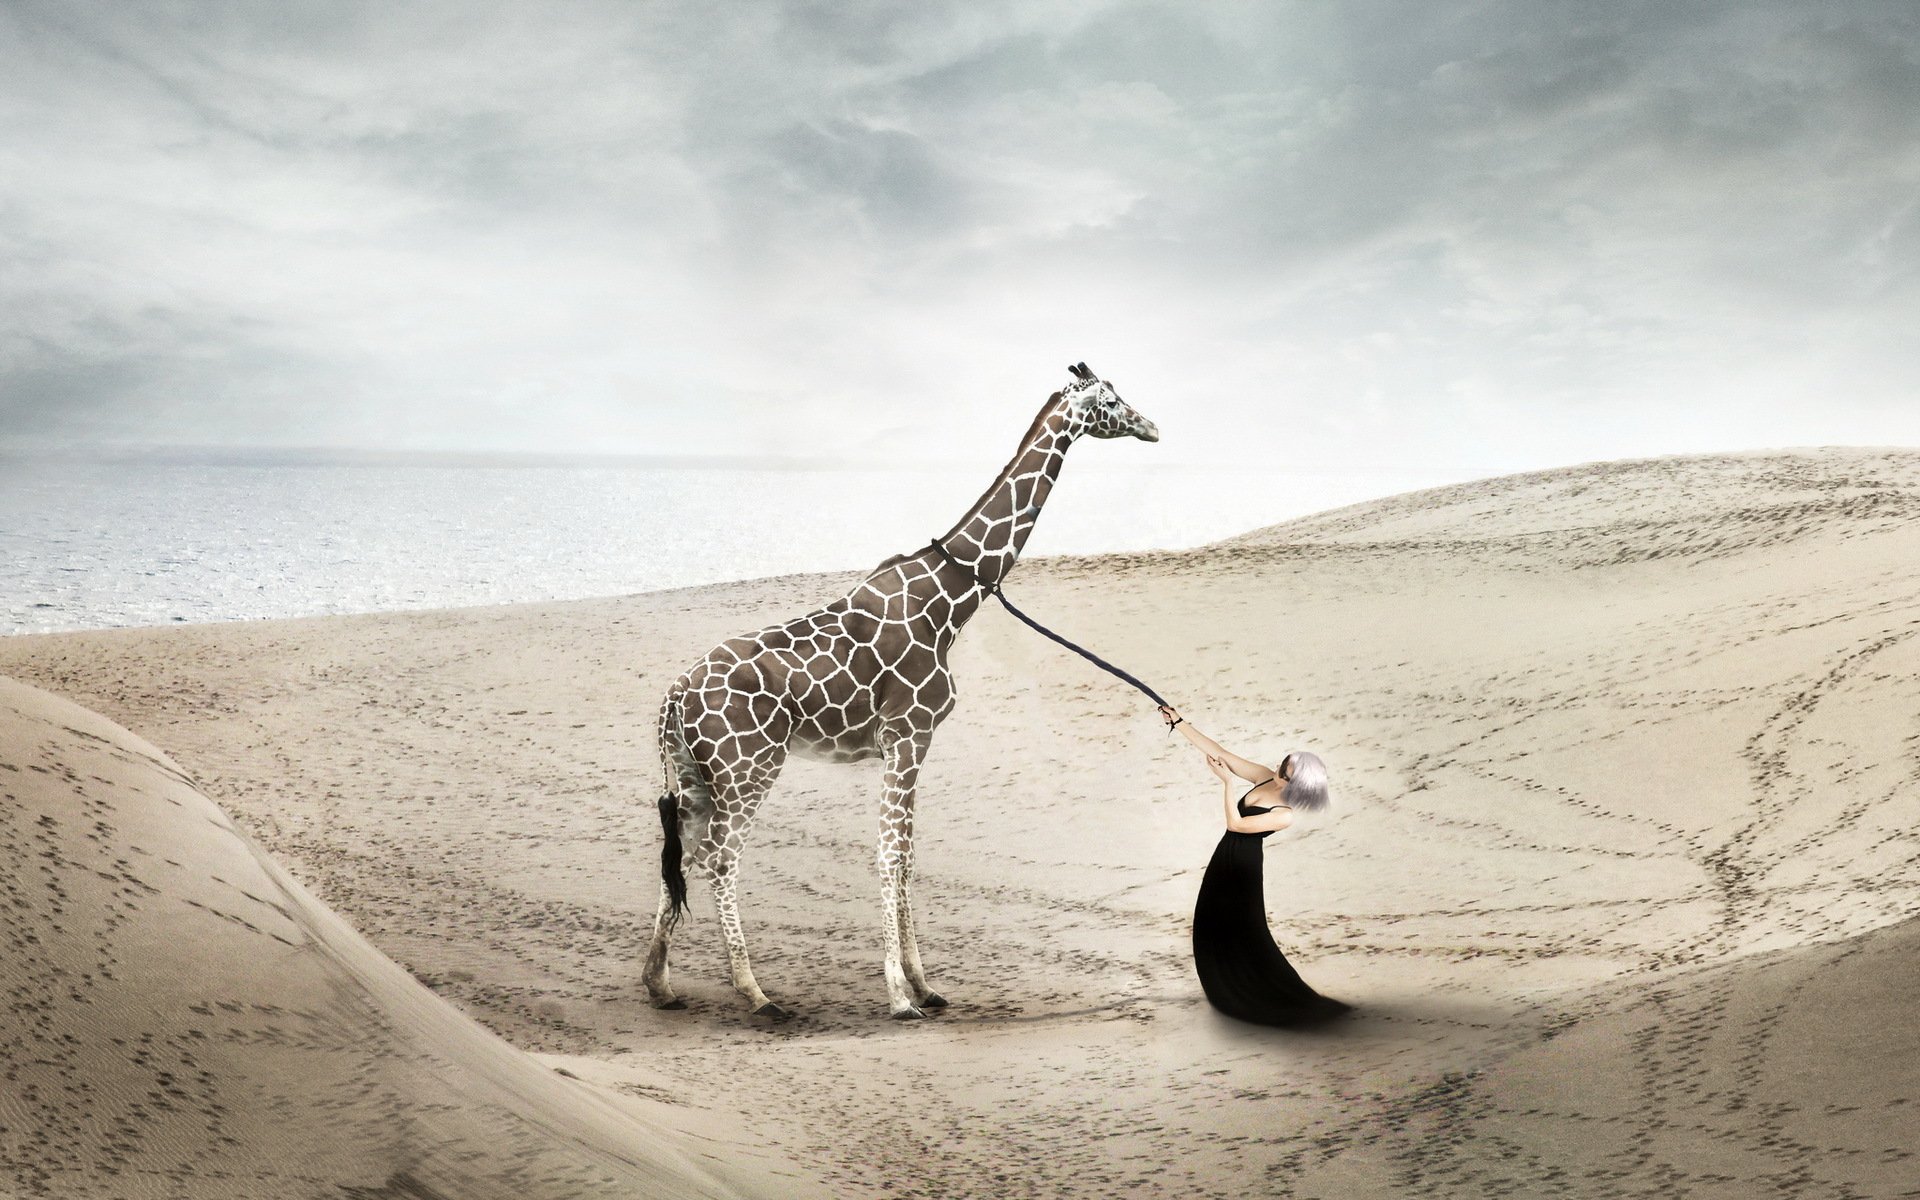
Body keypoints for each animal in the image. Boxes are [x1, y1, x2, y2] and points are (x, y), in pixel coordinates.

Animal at [642, 363, 1159, 1020]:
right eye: (1113, 398)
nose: (1153, 427)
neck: (954, 596)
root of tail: (674, 698)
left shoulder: (903, 743)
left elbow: (907, 856)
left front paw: (925, 986)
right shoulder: (910, 733)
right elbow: (892, 855)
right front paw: (898, 994)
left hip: (692, 777)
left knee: (680, 856)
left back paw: (659, 984)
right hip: (750, 770)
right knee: (720, 857)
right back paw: (756, 994)